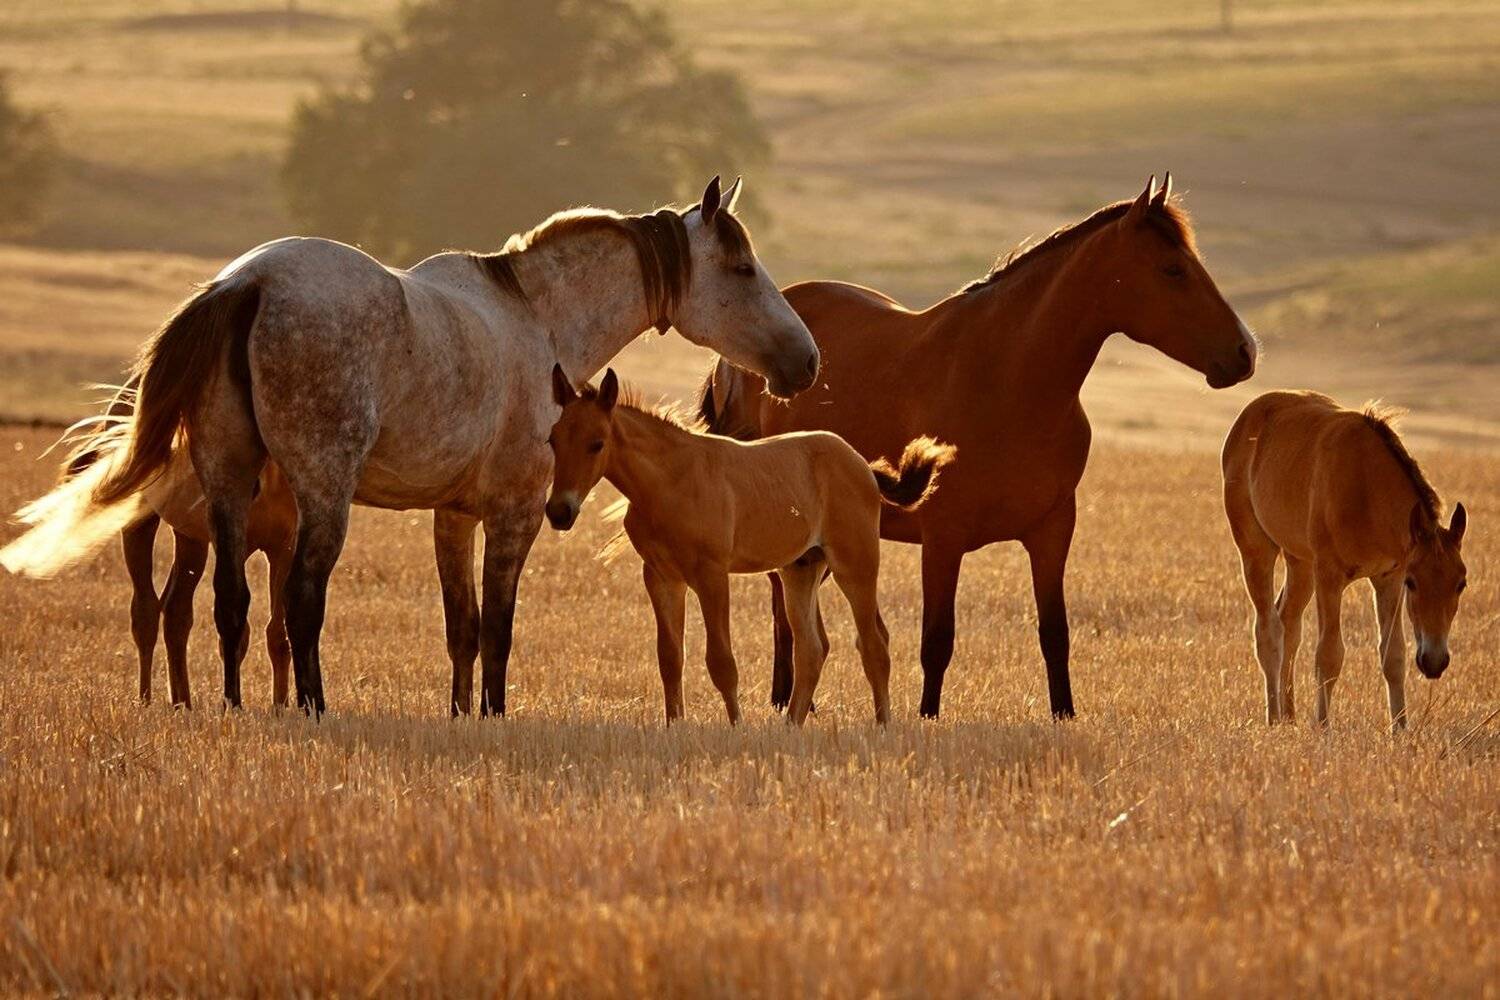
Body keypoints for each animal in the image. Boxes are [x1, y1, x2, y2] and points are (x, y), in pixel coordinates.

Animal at [2, 176, 819, 717]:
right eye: (742, 268)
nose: (805, 361)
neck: (537, 318)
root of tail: (246, 284)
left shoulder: (452, 518)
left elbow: (462, 630)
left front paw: (461, 716)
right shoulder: (515, 514)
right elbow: (498, 629)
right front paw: (492, 714)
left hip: (228, 487)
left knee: (230, 604)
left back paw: (234, 707)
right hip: (323, 496)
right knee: (300, 604)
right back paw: (312, 709)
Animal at [545, 365, 953, 725]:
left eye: (597, 444)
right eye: (552, 440)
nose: (559, 511)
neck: (670, 480)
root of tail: (863, 466)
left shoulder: (711, 574)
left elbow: (721, 661)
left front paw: (736, 727)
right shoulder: (661, 577)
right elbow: (670, 658)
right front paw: (674, 727)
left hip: (855, 564)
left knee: (874, 644)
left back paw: (883, 725)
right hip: (800, 570)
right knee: (812, 649)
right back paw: (790, 727)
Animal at [697, 175, 1256, 719]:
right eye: (1172, 270)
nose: (1245, 352)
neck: (1005, 377)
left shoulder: (1052, 532)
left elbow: (1055, 634)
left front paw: (1064, 714)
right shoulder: (943, 539)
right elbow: (936, 641)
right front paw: (927, 716)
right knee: (783, 610)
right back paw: (786, 699)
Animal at [1221, 391, 1469, 729]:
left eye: (1461, 584)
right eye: (1414, 583)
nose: (1434, 662)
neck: (1365, 488)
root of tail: (1246, 418)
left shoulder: (1388, 579)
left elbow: (1393, 655)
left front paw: (1400, 729)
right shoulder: (1330, 575)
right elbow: (1329, 655)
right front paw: (1323, 727)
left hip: (1300, 563)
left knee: (1289, 624)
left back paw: (1289, 716)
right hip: (1257, 550)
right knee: (1269, 630)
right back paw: (1273, 718)